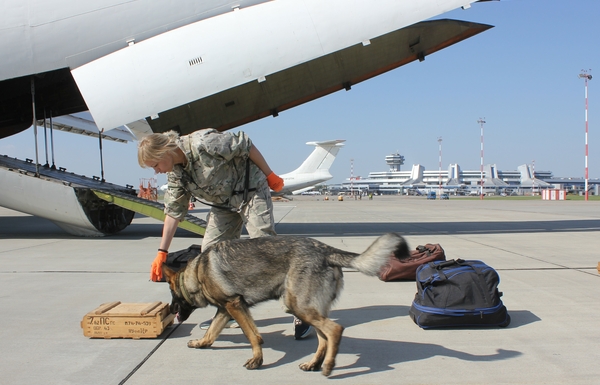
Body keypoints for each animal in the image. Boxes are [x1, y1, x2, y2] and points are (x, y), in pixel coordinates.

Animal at [162, 231, 410, 376]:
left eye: (172, 295)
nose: (171, 311)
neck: (197, 273)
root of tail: (326, 250)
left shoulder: (234, 306)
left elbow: (253, 336)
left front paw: (257, 360)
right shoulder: (226, 310)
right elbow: (212, 332)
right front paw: (201, 343)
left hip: (298, 306)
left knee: (335, 330)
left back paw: (329, 366)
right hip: (308, 308)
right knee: (324, 338)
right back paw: (314, 364)